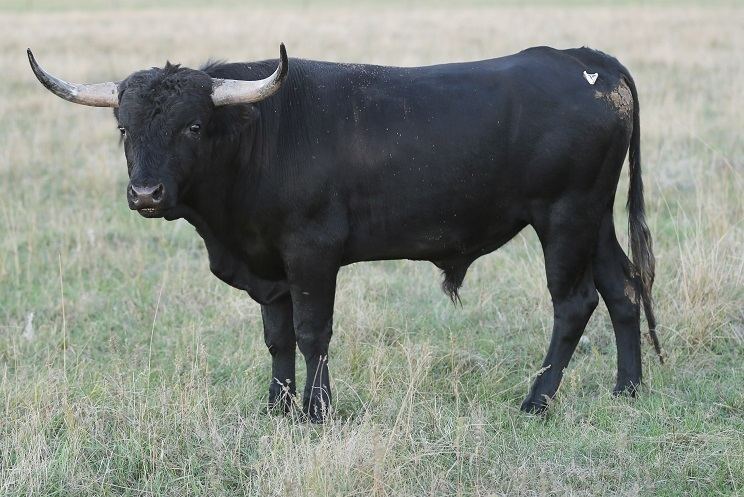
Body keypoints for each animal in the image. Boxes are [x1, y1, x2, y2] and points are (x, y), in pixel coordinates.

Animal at [29, 44, 664, 420]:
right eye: (123, 127)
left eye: (193, 125)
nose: (145, 195)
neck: (260, 136)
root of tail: (584, 59)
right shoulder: (269, 268)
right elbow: (277, 338)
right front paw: (277, 407)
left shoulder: (312, 253)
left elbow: (313, 332)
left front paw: (316, 411)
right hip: (593, 218)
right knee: (623, 287)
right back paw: (627, 389)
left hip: (564, 216)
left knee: (574, 301)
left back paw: (536, 399)